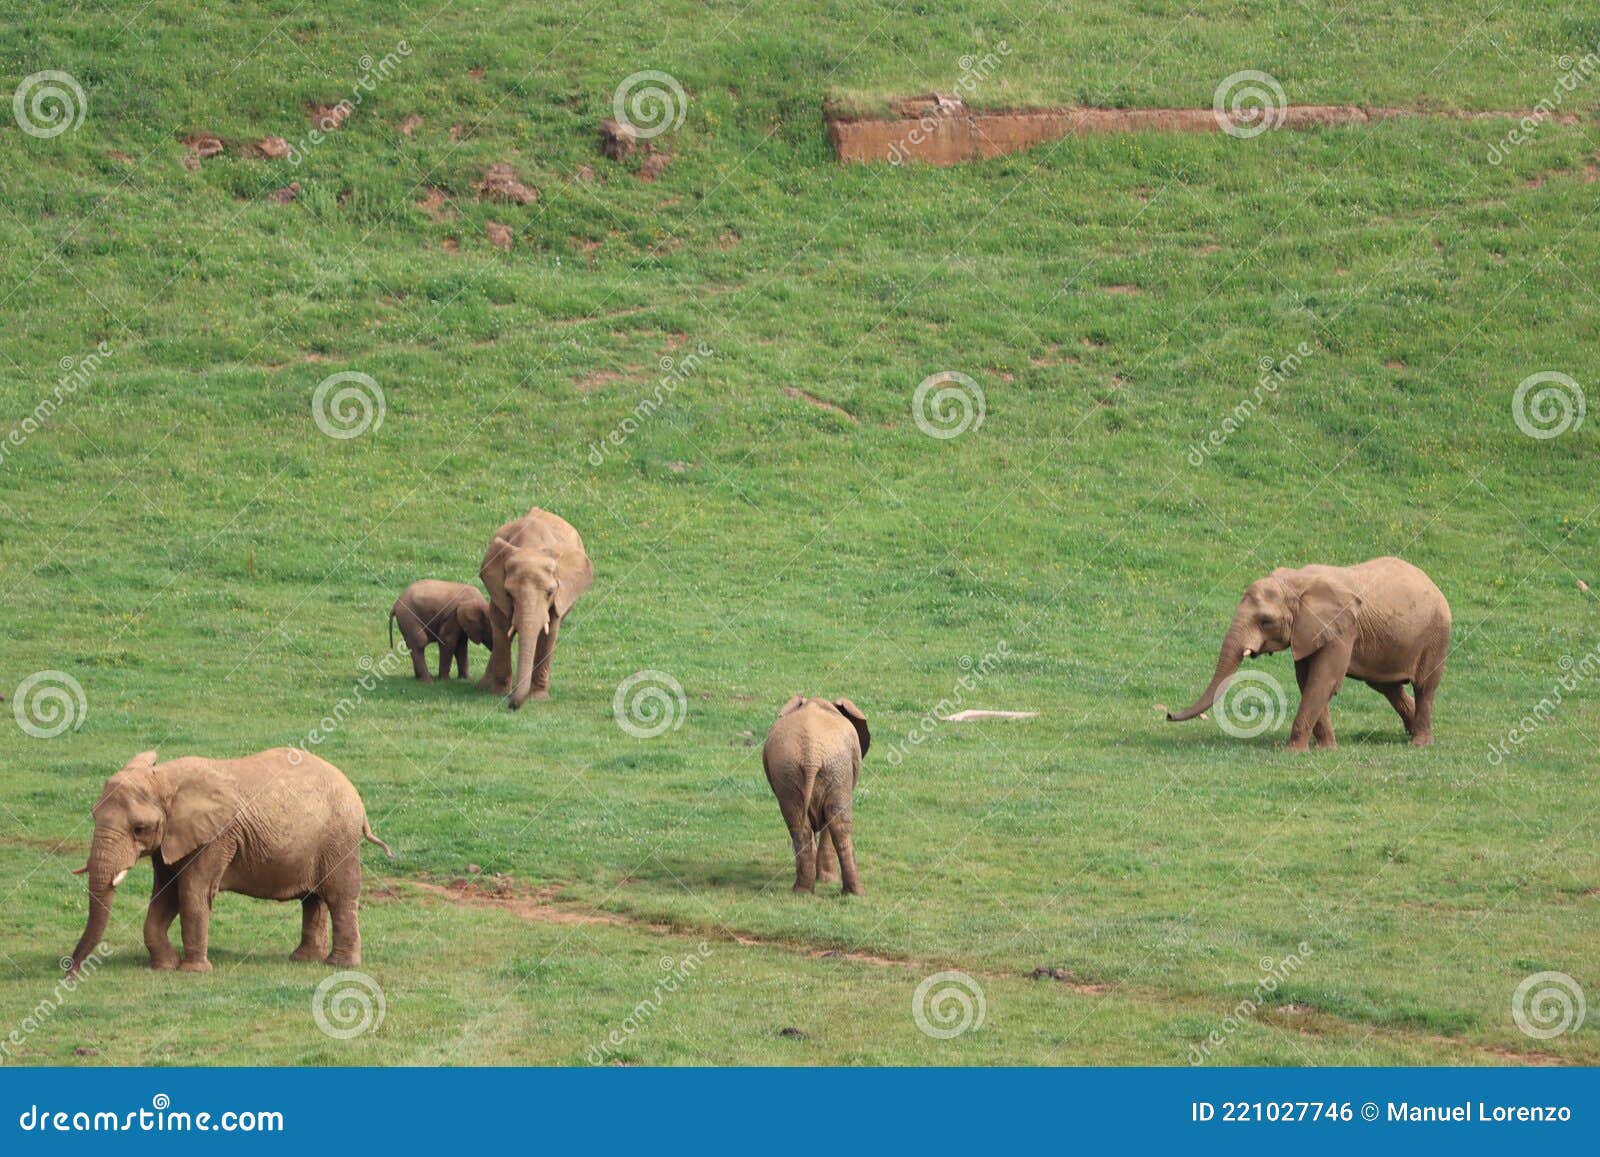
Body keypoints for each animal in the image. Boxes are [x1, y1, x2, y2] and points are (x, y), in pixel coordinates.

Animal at [68, 752, 393, 979]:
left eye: (139, 828)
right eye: (93, 815)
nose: (69, 973)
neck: (166, 779)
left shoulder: (216, 837)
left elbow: (192, 892)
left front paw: (193, 972)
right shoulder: (171, 840)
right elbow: (166, 894)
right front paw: (164, 967)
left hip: (339, 838)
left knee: (339, 896)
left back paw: (340, 965)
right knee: (313, 899)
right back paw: (303, 959)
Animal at [764, 697, 876, 896]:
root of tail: (811, 756)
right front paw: (827, 881)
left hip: (791, 772)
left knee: (800, 825)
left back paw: (805, 891)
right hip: (835, 769)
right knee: (837, 824)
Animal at [1164, 560, 1452, 752]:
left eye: (1265, 621)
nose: (1167, 715)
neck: (1296, 581)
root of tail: (1431, 581)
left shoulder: (1342, 628)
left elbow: (1323, 680)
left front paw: (1292, 751)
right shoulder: (1308, 630)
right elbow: (1307, 680)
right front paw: (1325, 749)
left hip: (1436, 634)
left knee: (1424, 686)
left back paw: (1419, 743)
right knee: (1387, 686)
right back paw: (1411, 731)